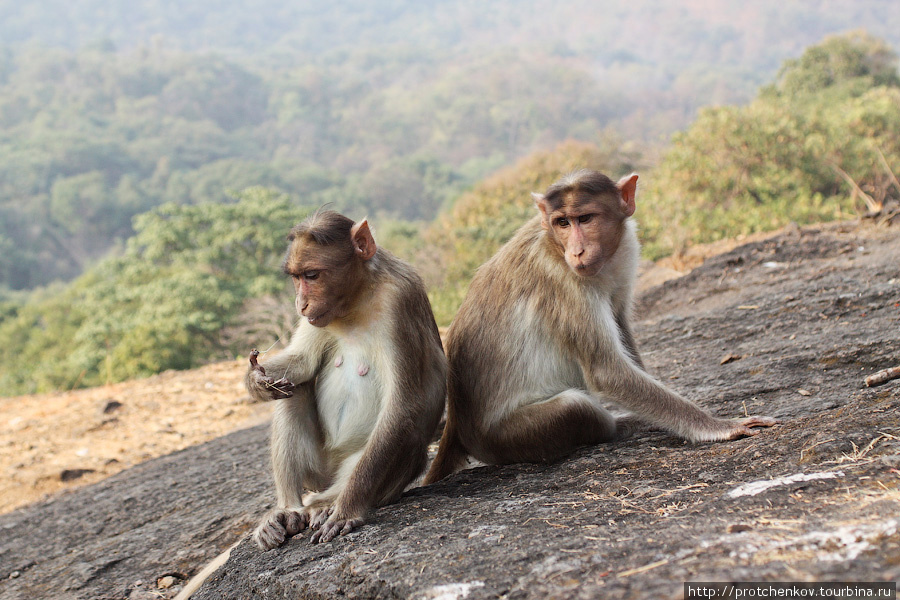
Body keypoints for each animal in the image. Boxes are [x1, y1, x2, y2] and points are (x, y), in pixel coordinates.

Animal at [246, 212, 446, 548]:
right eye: (296, 277)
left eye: (312, 275)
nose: (300, 304)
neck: (357, 297)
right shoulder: (320, 317)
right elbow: (302, 363)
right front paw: (256, 381)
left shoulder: (398, 300)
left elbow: (402, 406)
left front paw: (346, 511)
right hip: (318, 470)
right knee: (295, 390)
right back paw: (289, 509)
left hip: (372, 474)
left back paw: (326, 505)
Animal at [426, 169, 776, 482]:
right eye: (562, 222)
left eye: (585, 218)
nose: (577, 251)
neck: (555, 245)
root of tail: (457, 426)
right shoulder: (565, 282)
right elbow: (607, 371)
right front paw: (718, 426)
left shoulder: (626, 248)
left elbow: (621, 325)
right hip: (504, 439)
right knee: (575, 407)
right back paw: (617, 426)